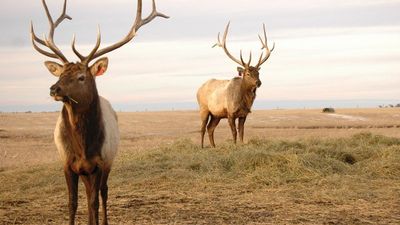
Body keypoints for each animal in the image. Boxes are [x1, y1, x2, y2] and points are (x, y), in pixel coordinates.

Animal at [30, 0, 168, 224]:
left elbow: (95, 201)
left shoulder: (100, 163)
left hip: (108, 162)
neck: (83, 147)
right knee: (88, 194)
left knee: (103, 192)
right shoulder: (68, 164)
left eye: (81, 77)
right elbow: (73, 203)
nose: (54, 89)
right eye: (60, 74)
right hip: (84, 171)